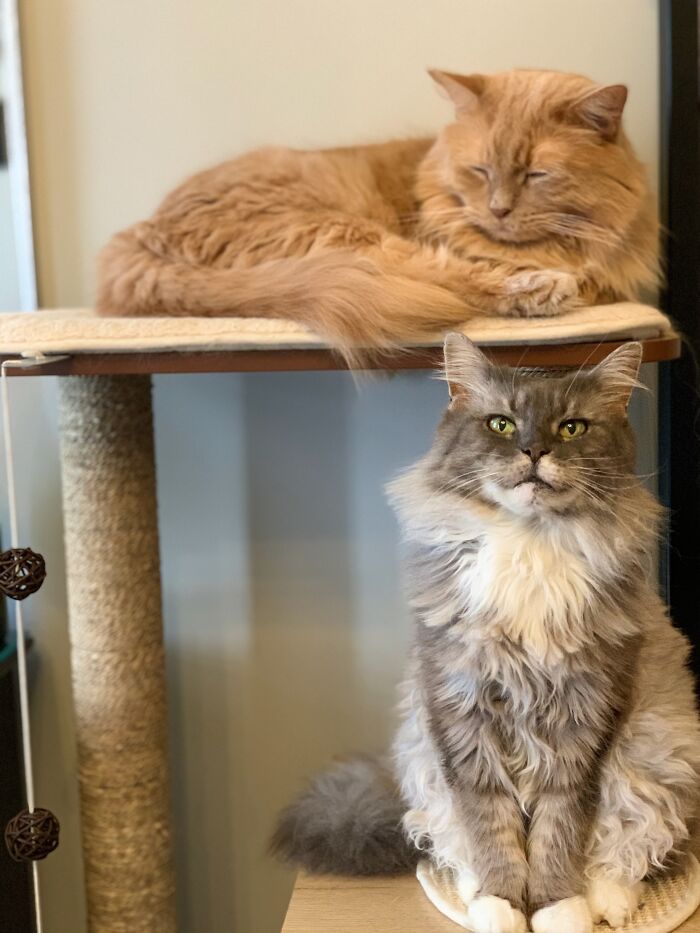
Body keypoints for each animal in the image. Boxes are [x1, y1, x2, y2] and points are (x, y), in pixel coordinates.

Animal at [97, 69, 656, 358]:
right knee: (441, 278)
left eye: (537, 175)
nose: (498, 210)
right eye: (479, 170)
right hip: (339, 233)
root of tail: (139, 231)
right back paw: (540, 290)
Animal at [274, 336, 700, 932]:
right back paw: (474, 894)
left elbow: (561, 828)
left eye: (572, 428)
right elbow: (488, 824)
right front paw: (503, 904)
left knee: (632, 850)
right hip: (421, 756)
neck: (530, 541)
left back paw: (607, 902)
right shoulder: (461, 707)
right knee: (446, 838)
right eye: (501, 424)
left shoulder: (587, 715)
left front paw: (556, 906)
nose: (533, 451)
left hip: (654, 754)